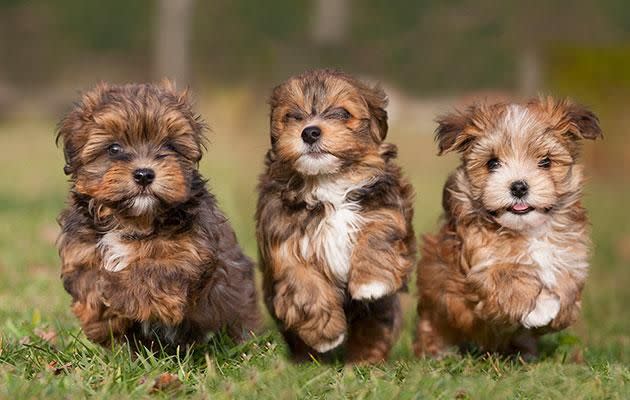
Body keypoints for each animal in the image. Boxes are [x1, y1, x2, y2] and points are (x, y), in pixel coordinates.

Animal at [56, 82, 260, 350]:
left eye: (170, 146)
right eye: (114, 148)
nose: (144, 174)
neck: (133, 219)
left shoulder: (189, 252)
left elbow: (151, 272)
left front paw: (115, 290)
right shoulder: (81, 252)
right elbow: (87, 283)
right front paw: (101, 321)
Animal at [256, 70, 420, 364]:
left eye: (343, 114)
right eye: (292, 116)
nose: (310, 132)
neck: (327, 182)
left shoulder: (386, 205)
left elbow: (379, 230)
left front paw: (370, 283)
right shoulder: (282, 238)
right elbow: (303, 281)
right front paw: (326, 335)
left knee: (374, 326)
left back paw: (366, 359)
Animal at [414, 97, 604, 360]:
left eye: (545, 162)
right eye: (492, 163)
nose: (519, 187)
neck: (529, 230)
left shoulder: (570, 254)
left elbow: (567, 284)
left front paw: (558, 308)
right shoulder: (480, 261)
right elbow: (507, 278)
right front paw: (540, 308)